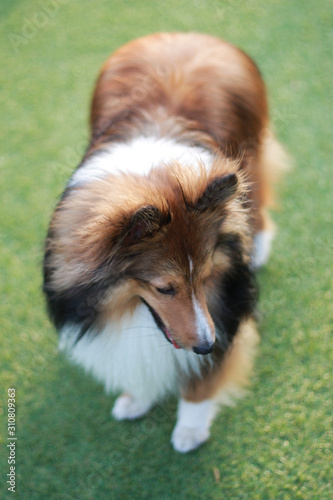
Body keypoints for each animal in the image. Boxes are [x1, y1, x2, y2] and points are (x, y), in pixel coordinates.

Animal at [42, 32, 286, 454]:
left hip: (251, 157)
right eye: (164, 288)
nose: (205, 344)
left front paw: (190, 427)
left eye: (205, 277)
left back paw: (261, 245)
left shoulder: (227, 307)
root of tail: (187, 35)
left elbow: (205, 376)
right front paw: (136, 398)